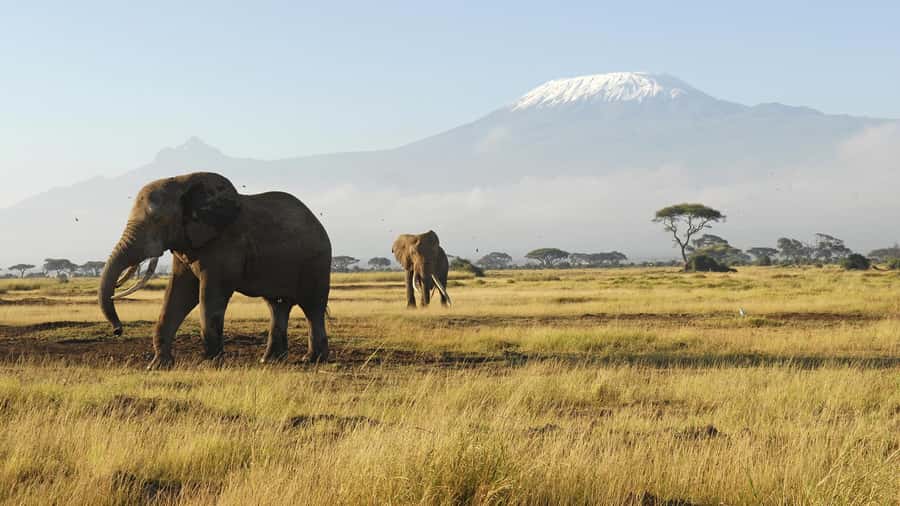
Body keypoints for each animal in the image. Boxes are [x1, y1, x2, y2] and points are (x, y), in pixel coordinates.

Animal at [98, 172, 332, 369]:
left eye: (157, 220)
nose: (118, 330)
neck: (182, 182)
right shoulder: (187, 242)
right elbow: (179, 293)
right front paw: (158, 366)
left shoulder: (225, 244)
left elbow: (210, 295)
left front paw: (210, 363)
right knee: (277, 306)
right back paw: (269, 360)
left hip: (317, 262)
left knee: (312, 307)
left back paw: (312, 360)